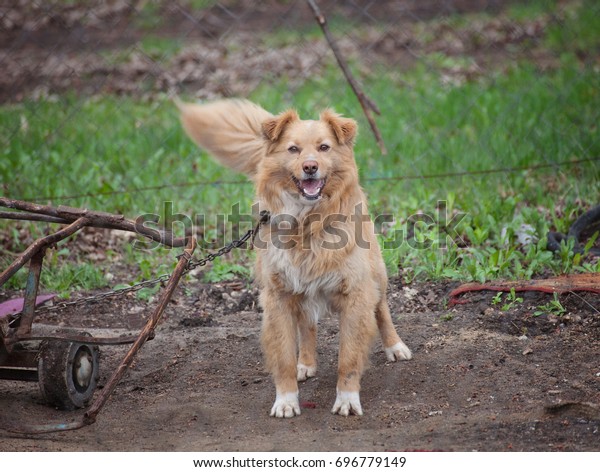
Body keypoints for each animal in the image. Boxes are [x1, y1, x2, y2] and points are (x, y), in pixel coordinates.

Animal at [178, 99, 412, 416]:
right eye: (293, 149)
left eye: (324, 147)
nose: (310, 167)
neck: (307, 222)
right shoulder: (278, 296)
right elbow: (283, 357)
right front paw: (286, 400)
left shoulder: (355, 293)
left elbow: (349, 358)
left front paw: (347, 399)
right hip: (301, 290)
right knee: (307, 325)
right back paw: (307, 362)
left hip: (377, 274)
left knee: (382, 308)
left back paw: (395, 346)